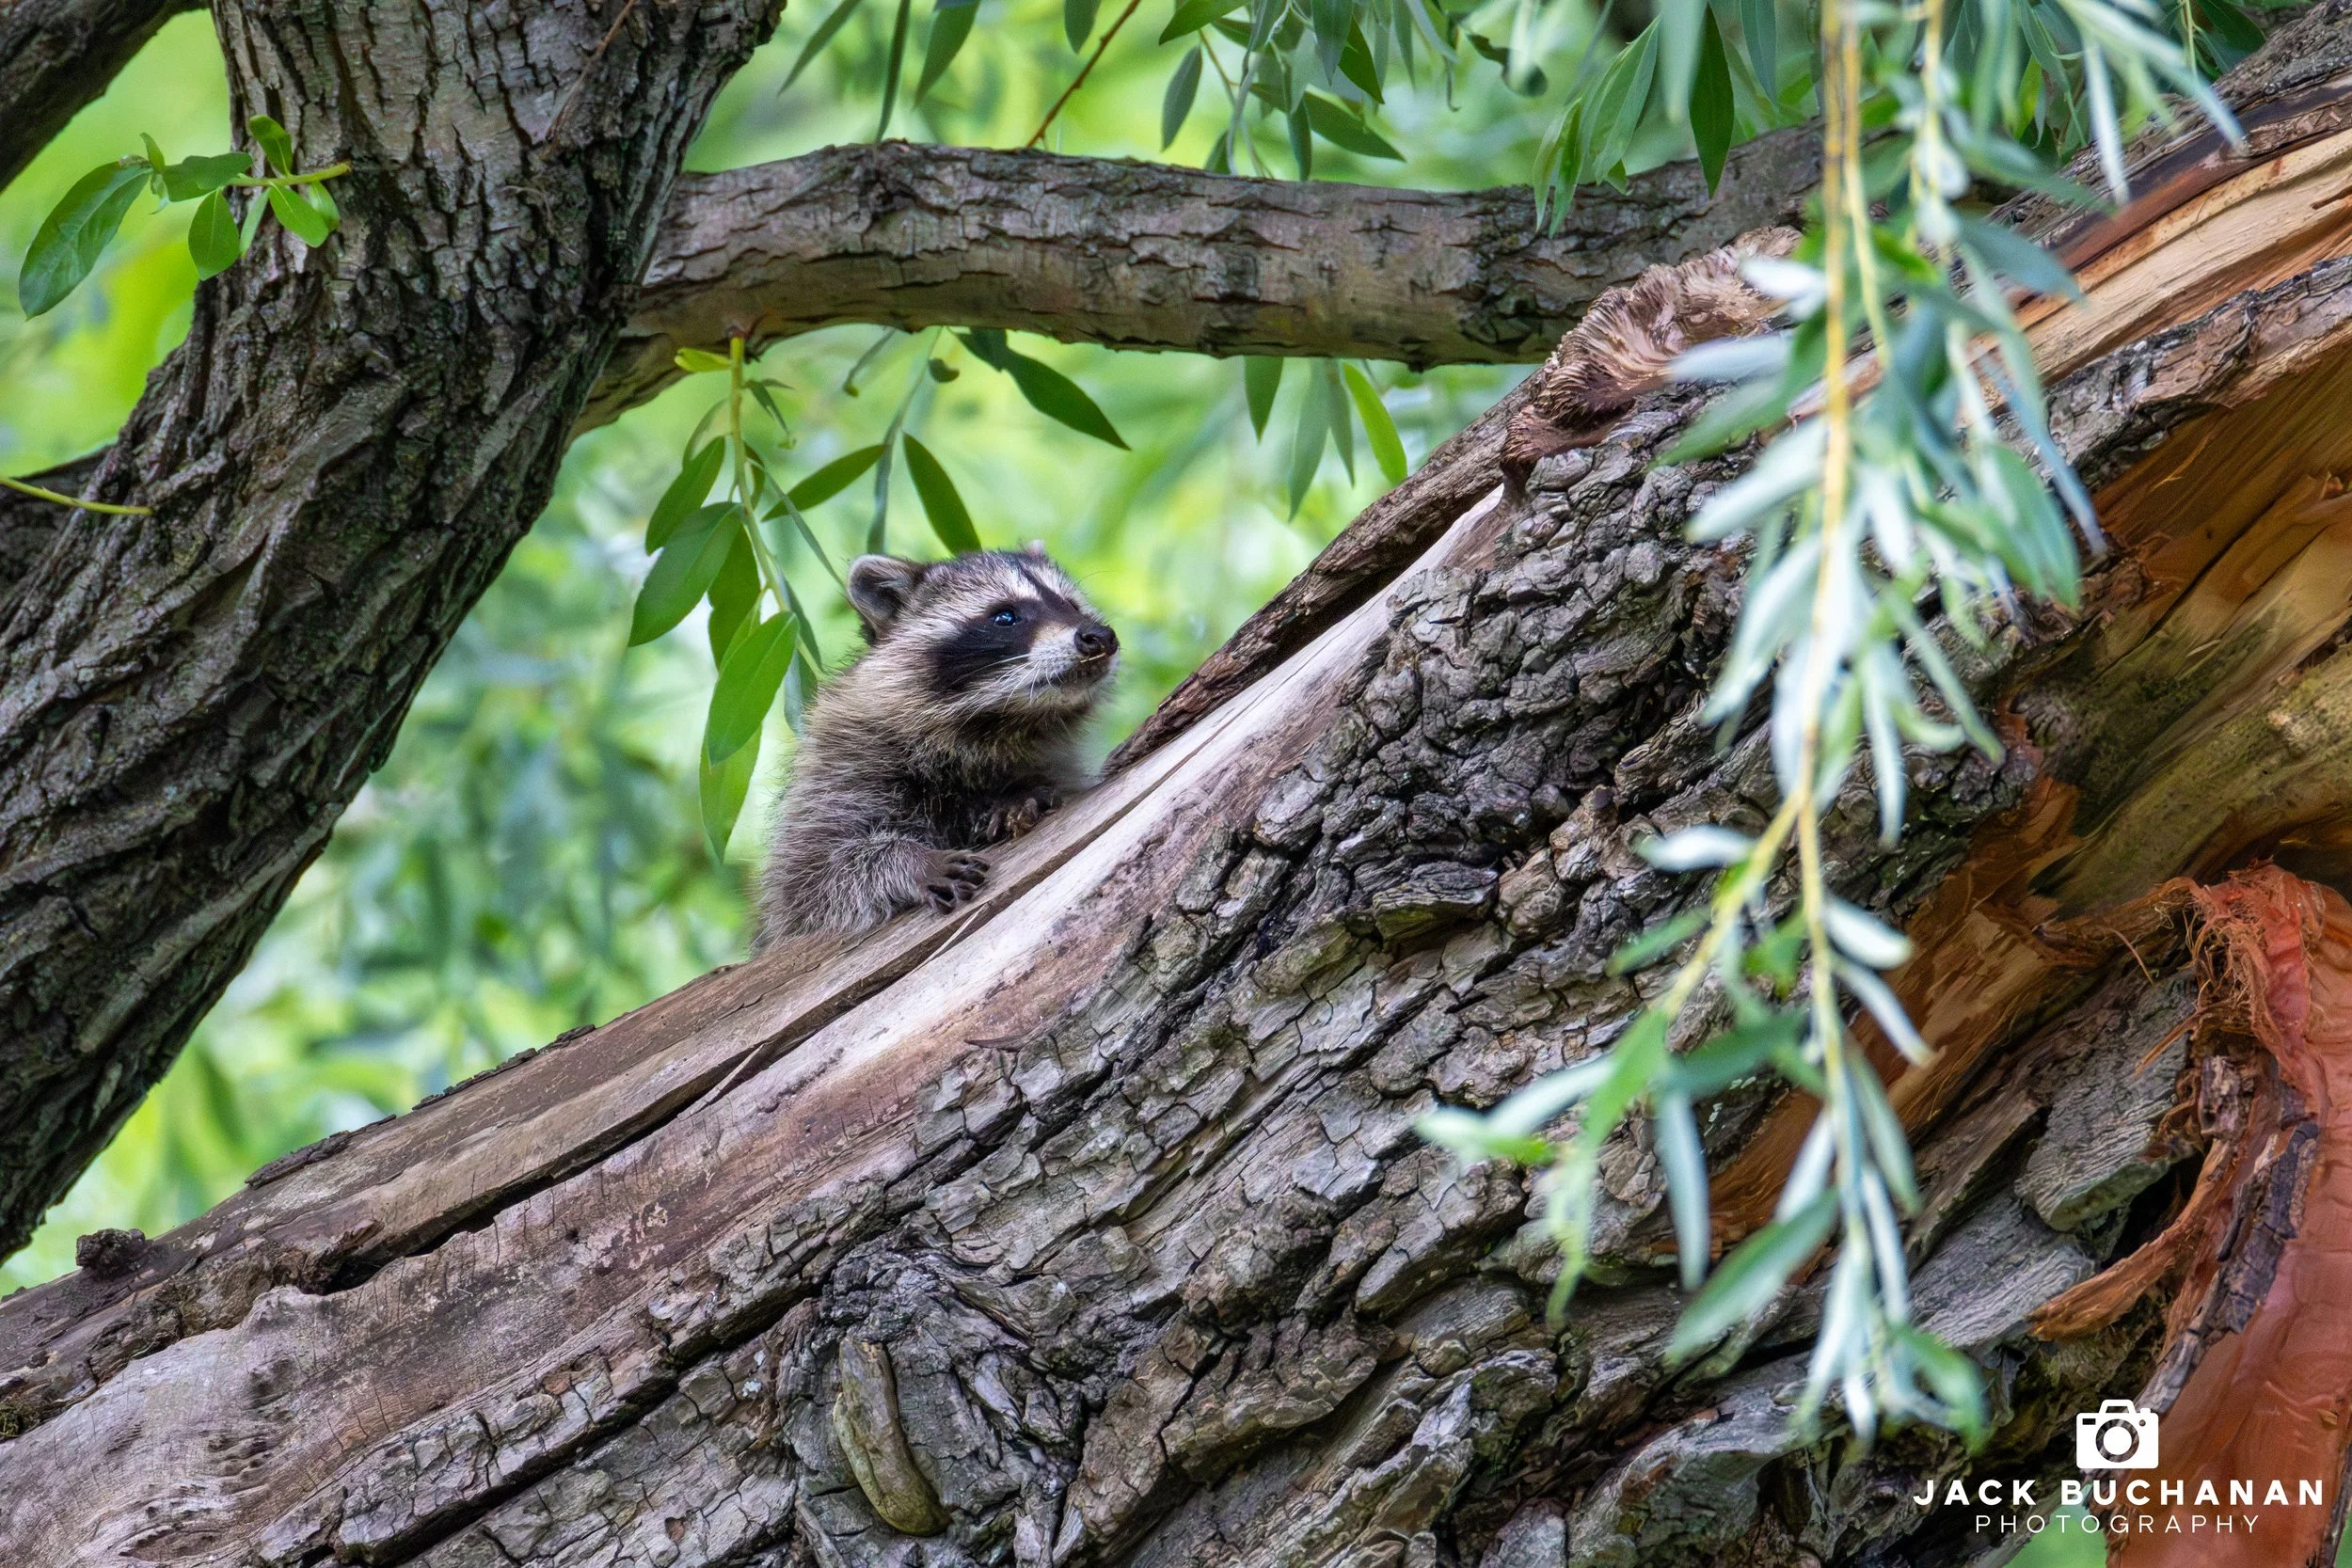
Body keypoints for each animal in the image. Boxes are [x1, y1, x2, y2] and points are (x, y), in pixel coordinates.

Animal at [754, 546, 1119, 947]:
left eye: (1072, 605)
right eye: (1005, 616)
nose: (1100, 636)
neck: (997, 727)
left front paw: (1019, 794)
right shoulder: (840, 768)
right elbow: (813, 881)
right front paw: (907, 861)